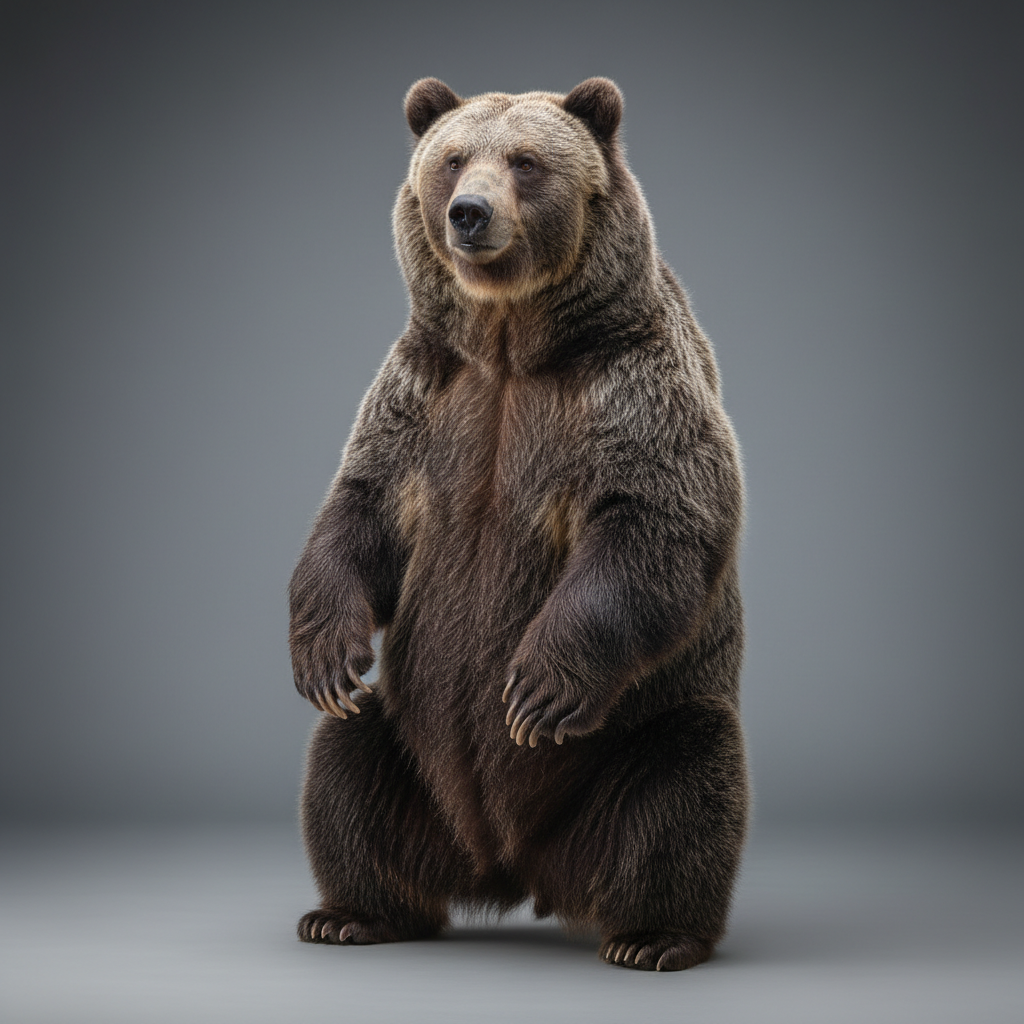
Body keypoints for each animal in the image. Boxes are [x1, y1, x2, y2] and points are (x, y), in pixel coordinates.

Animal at [288, 77, 749, 972]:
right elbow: (360, 512)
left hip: (632, 742)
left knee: (686, 786)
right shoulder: (426, 395)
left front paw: (536, 689)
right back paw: (350, 913)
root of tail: (511, 867)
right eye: (452, 158)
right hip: (409, 745)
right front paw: (324, 653)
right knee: (344, 768)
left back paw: (654, 937)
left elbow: (655, 522)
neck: (509, 344)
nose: (469, 212)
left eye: (527, 162)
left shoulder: (630, 386)